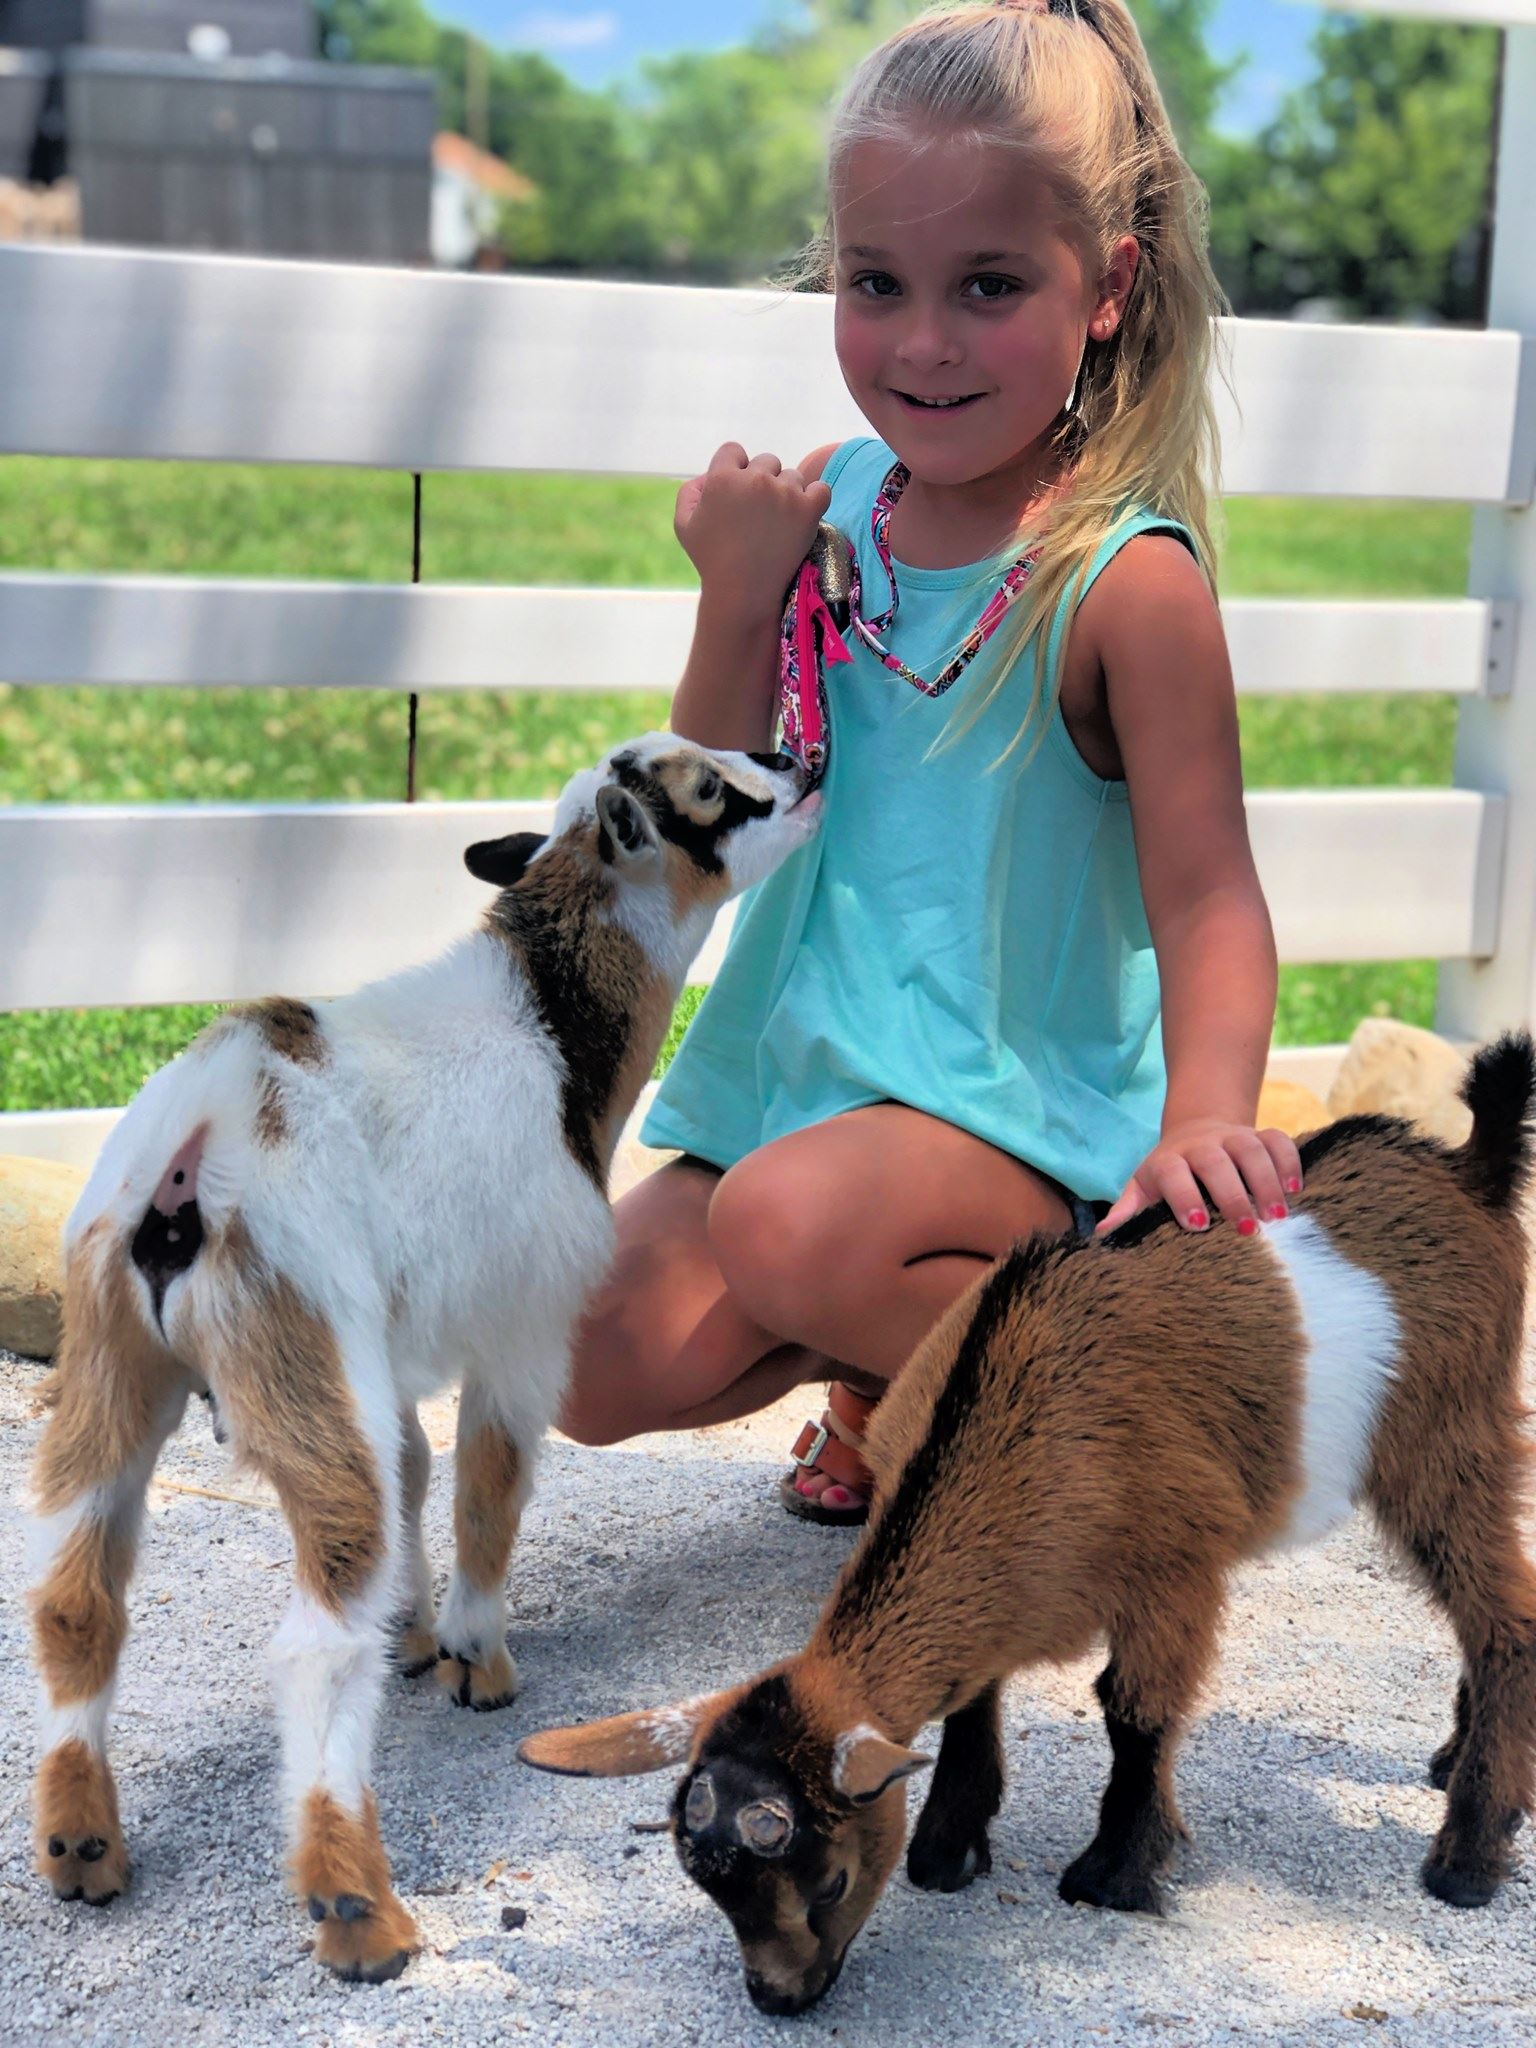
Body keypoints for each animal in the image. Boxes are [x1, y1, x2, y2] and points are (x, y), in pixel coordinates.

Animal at [27, 734, 819, 1985]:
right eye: (707, 791)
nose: (800, 761)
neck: (552, 1026)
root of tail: (190, 1154)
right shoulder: (524, 1324)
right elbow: (489, 1484)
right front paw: (473, 1657)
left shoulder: (384, 1359)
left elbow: (414, 1466)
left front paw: (411, 1635)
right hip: (295, 1337)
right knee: (313, 1638)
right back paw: (361, 1914)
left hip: (119, 1358)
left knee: (74, 1594)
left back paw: (81, 1845)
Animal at [521, 1034, 1536, 2014]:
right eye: (707, 1887)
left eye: (828, 1882)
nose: (777, 2000)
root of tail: (1468, 1167)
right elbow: (971, 1697)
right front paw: (947, 1847)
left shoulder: (1176, 1562)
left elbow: (1133, 1713)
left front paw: (1114, 1873)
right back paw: (1454, 1763)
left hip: (1447, 1425)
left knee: (1505, 1615)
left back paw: (1468, 1856)